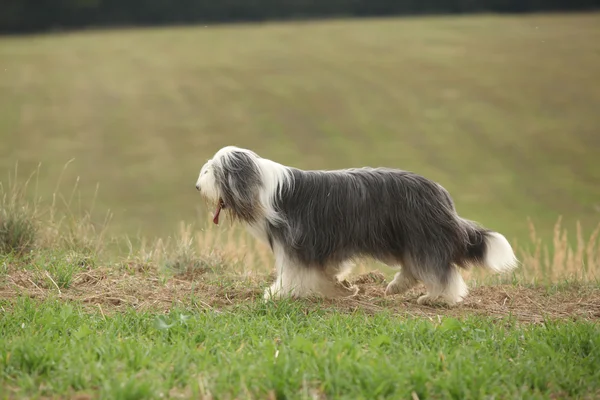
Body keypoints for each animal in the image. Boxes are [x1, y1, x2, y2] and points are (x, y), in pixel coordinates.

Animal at [195, 147, 516, 306]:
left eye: (211, 171)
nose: (197, 186)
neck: (262, 187)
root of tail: (441, 195)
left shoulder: (295, 244)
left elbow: (292, 273)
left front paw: (277, 293)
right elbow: (327, 269)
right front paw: (337, 283)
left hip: (422, 236)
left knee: (440, 272)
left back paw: (440, 298)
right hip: (405, 237)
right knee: (414, 268)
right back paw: (397, 287)